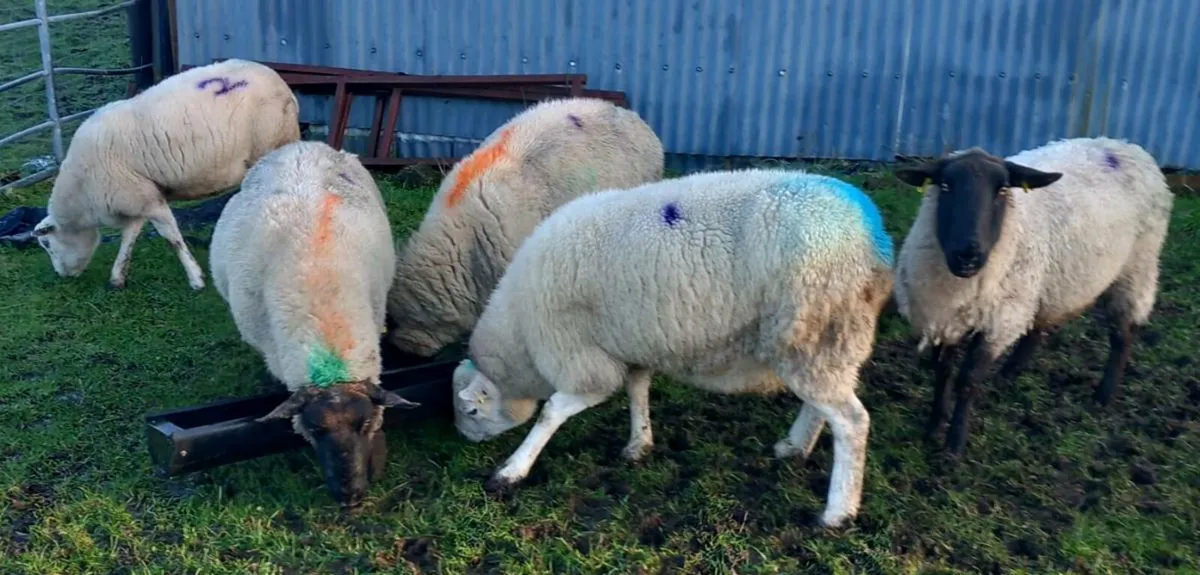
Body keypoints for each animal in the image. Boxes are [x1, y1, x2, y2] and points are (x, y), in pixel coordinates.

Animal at [32, 58, 301, 291]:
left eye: (46, 243)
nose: (61, 275)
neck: (82, 193)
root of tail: (280, 82)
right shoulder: (138, 197)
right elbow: (129, 237)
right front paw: (117, 278)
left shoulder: (150, 201)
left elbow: (171, 238)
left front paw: (196, 280)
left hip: (272, 144)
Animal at [450, 168, 896, 528]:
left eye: (472, 411)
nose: (465, 441)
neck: (521, 336)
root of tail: (875, 236)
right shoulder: (629, 344)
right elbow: (637, 390)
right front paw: (639, 444)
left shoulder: (581, 358)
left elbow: (552, 413)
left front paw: (511, 471)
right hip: (823, 338)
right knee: (824, 406)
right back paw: (795, 447)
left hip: (815, 327)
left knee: (851, 421)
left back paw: (837, 512)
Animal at [892, 137, 1173, 456]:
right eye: (946, 186)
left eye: (1003, 189)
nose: (968, 255)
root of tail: (1126, 146)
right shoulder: (944, 318)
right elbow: (943, 373)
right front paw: (934, 428)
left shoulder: (998, 323)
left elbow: (968, 381)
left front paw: (954, 446)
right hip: (1054, 283)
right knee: (1041, 326)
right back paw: (1009, 374)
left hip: (1135, 268)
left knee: (1122, 335)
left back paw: (1103, 396)